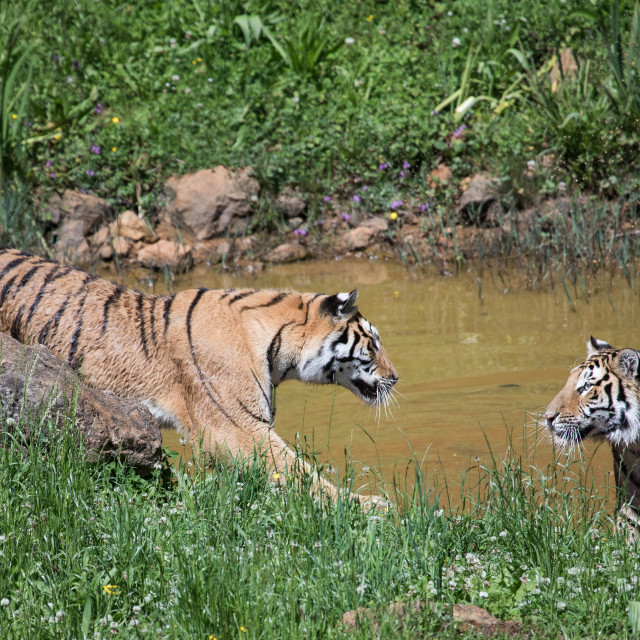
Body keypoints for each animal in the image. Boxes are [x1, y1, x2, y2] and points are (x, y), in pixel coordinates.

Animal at [0, 248, 398, 502]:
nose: (396, 378)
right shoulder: (236, 428)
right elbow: (299, 472)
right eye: (373, 344)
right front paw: (369, 509)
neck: (275, 348)